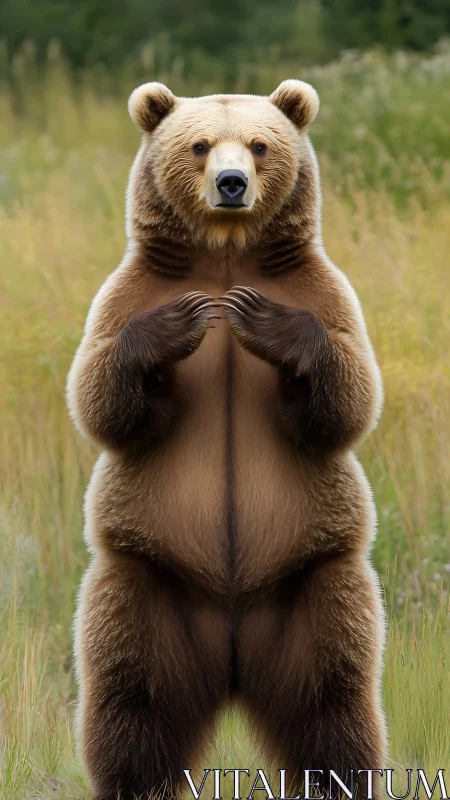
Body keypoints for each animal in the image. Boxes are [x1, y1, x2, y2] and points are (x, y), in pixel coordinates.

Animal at [66, 79, 387, 800]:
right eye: (200, 144)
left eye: (261, 144)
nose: (233, 183)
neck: (225, 252)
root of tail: (235, 660)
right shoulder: (126, 291)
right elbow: (99, 395)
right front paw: (177, 325)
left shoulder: (323, 289)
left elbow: (350, 395)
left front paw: (262, 321)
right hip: (146, 587)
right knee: (133, 703)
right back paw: (134, 781)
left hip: (316, 588)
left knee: (333, 703)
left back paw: (342, 776)